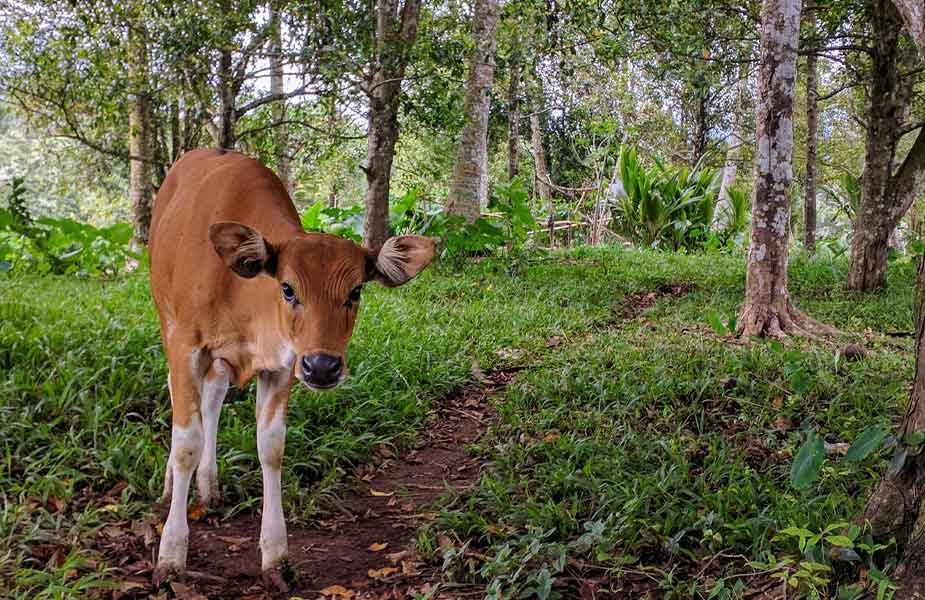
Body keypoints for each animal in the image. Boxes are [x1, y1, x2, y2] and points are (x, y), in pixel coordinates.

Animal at [147, 148, 434, 588]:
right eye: (287, 288)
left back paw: (209, 485)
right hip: (165, 318)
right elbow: (185, 445)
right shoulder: (186, 346)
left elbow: (272, 448)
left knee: (213, 398)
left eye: (356, 291)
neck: (240, 295)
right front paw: (171, 552)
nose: (322, 366)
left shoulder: (283, 364)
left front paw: (276, 555)